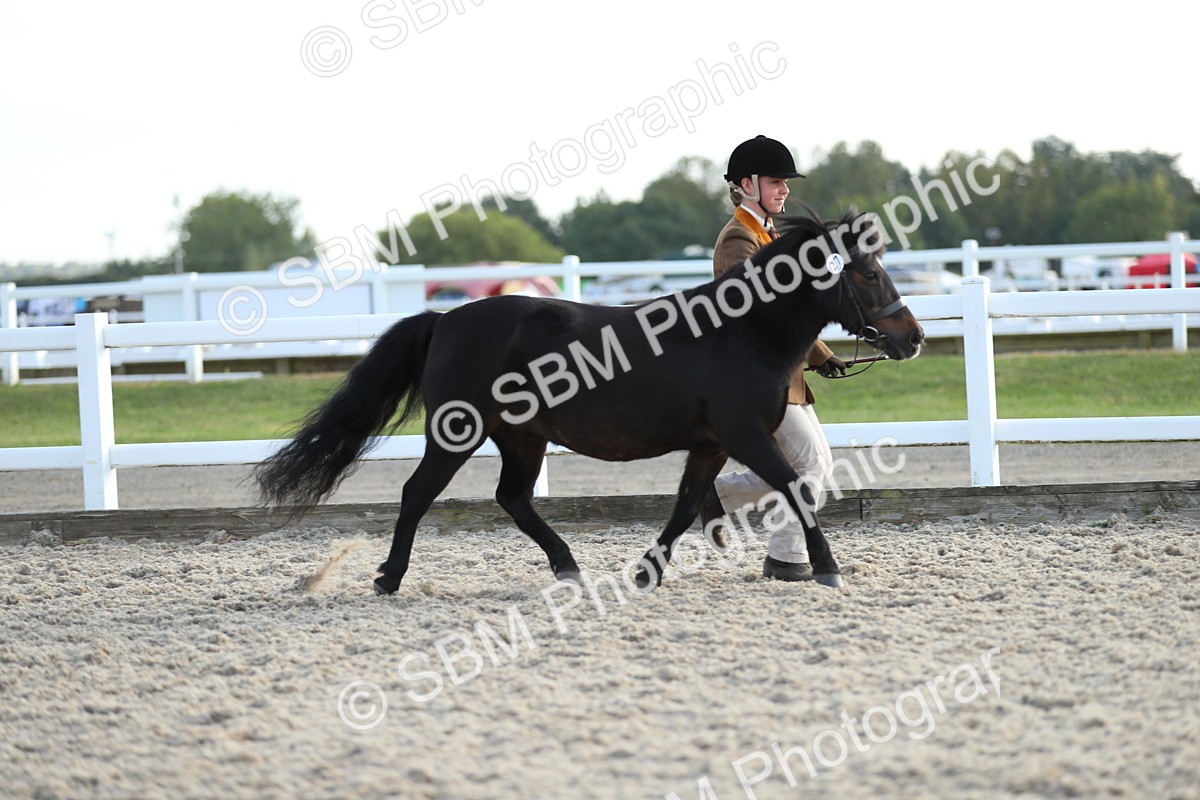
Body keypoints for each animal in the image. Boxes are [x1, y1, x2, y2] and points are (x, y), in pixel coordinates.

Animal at [253, 208, 925, 595]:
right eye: (869, 274)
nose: (913, 337)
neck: (742, 332)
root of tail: (444, 318)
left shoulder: (711, 445)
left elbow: (687, 506)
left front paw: (648, 571)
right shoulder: (745, 437)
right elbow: (793, 489)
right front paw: (827, 567)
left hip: (522, 437)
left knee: (513, 498)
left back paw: (568, 567)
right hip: (458, 431)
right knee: (419, 493)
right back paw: (388, 578)